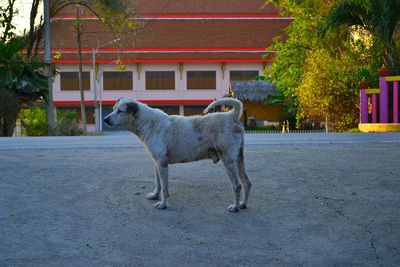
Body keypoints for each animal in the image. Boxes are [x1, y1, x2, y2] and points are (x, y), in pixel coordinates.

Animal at [104, 97, 252, 213]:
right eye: (113, 108)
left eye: (120, 111)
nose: (105, 119)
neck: (148, 122)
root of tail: (231, 116)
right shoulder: (157, 162)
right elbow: (158, 182)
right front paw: (155, 195)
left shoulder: (162, 163)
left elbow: (164, 187)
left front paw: (163, 204)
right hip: (239, 159)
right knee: (247, 182)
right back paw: (243, 204)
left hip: (228, 160)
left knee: (237, 185)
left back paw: (235, 207)